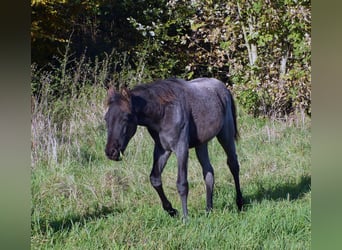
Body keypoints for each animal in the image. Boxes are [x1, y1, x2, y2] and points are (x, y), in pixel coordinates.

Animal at [104, 77, 243, 218]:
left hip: (225, 136)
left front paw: (185, 218)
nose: (111, 152)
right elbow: (155, 179)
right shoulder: (162, 149)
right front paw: (171, 210)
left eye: (125, 118)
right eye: (106, 119)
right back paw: (209, 210)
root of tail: (223, 87)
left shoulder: (181, 149)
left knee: (233, 165)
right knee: (208, 172)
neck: (164, 112)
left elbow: (182, 184)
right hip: (201, 144)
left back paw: (239, 203)